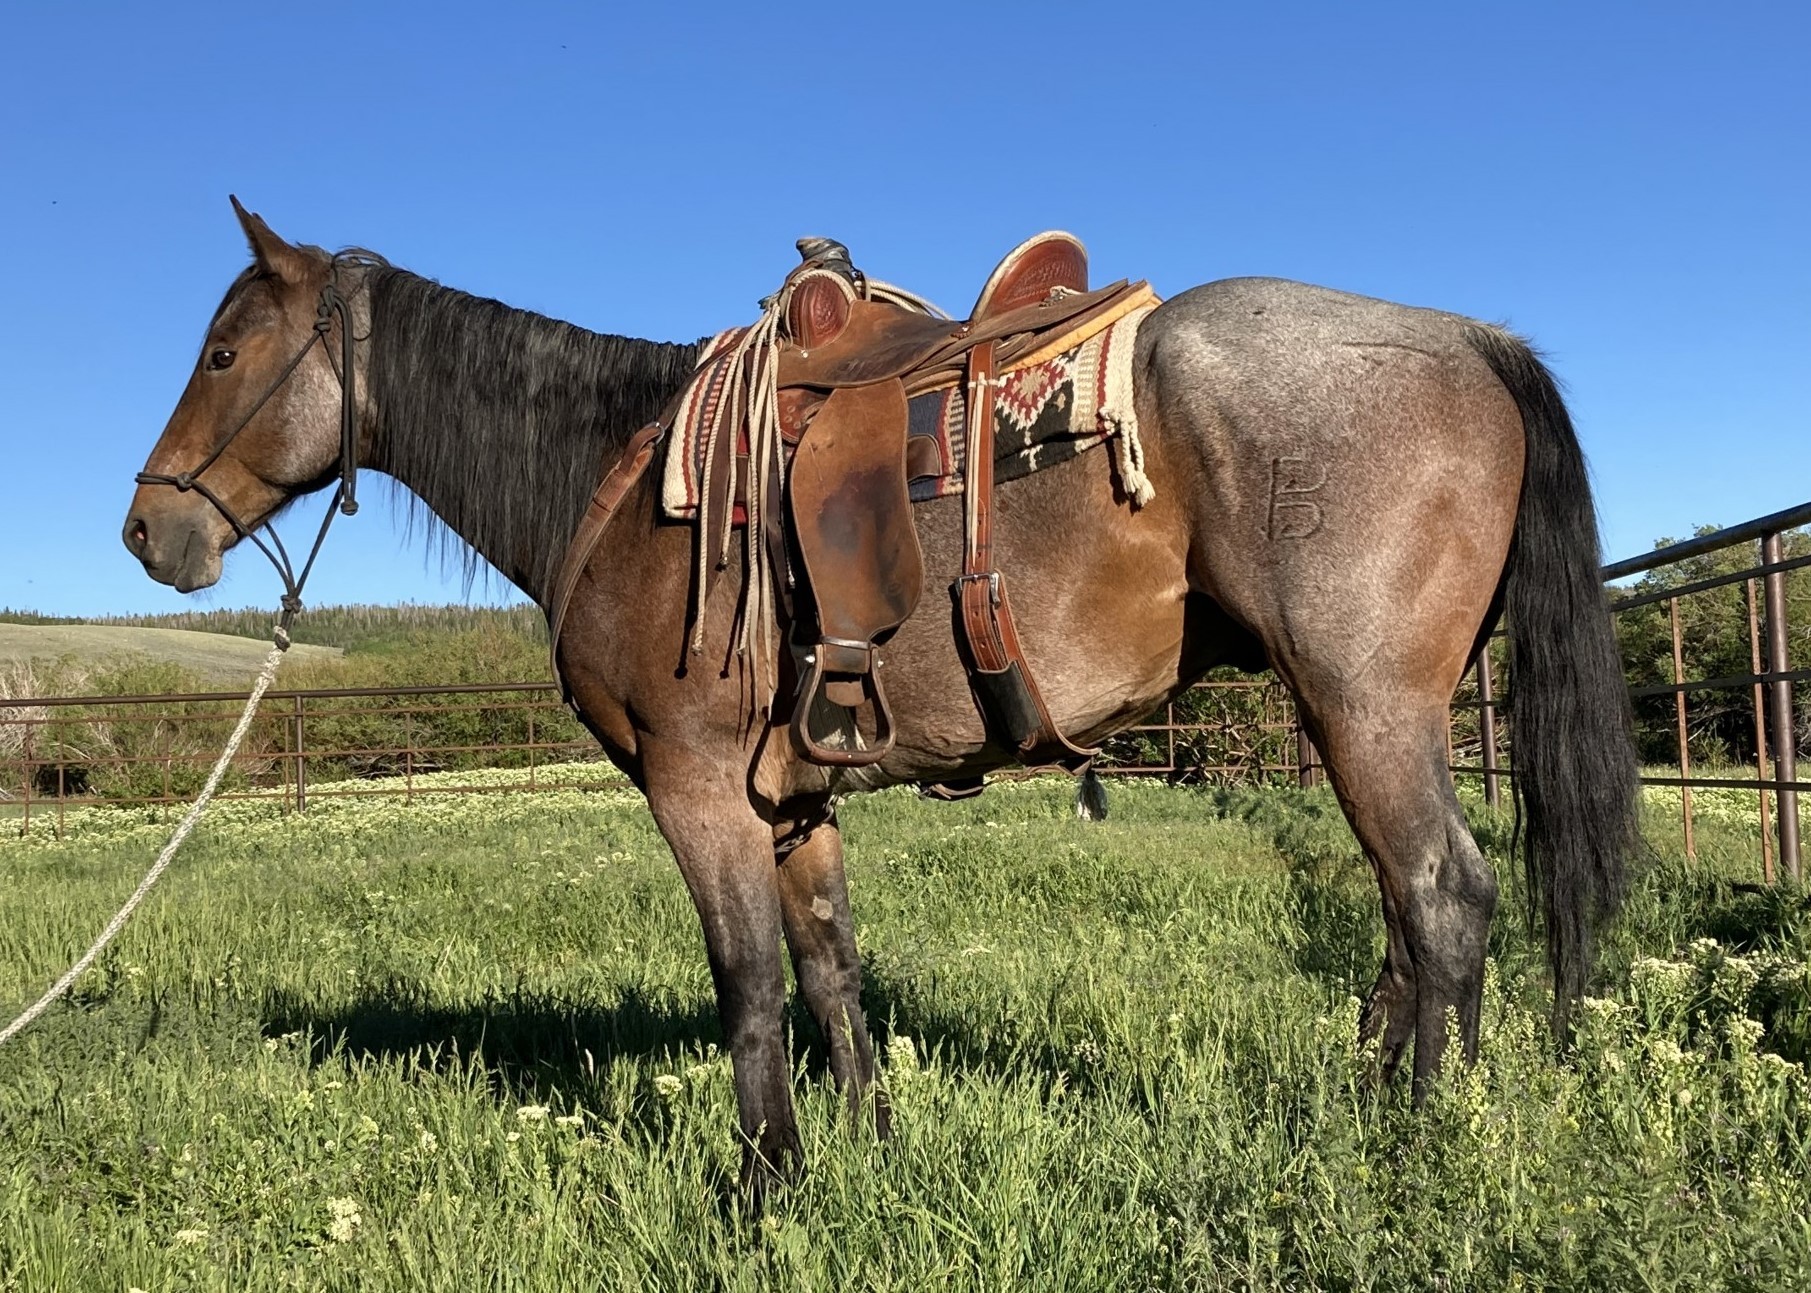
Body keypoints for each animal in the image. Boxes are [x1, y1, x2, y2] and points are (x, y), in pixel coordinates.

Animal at [120, 199, 1637, 1187]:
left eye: (221, 354)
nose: (148, 528)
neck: (621, 474)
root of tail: (1471, 339)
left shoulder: (695, 790)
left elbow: (742, 985)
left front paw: (765, 1188)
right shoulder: (793, 798)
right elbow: (827, 968)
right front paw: (867, 1147)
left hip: (1364, 707)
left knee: (1440, 898)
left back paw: (1425, 1138)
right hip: (1356, 720)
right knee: (1403, 914)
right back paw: (1376, 1101)